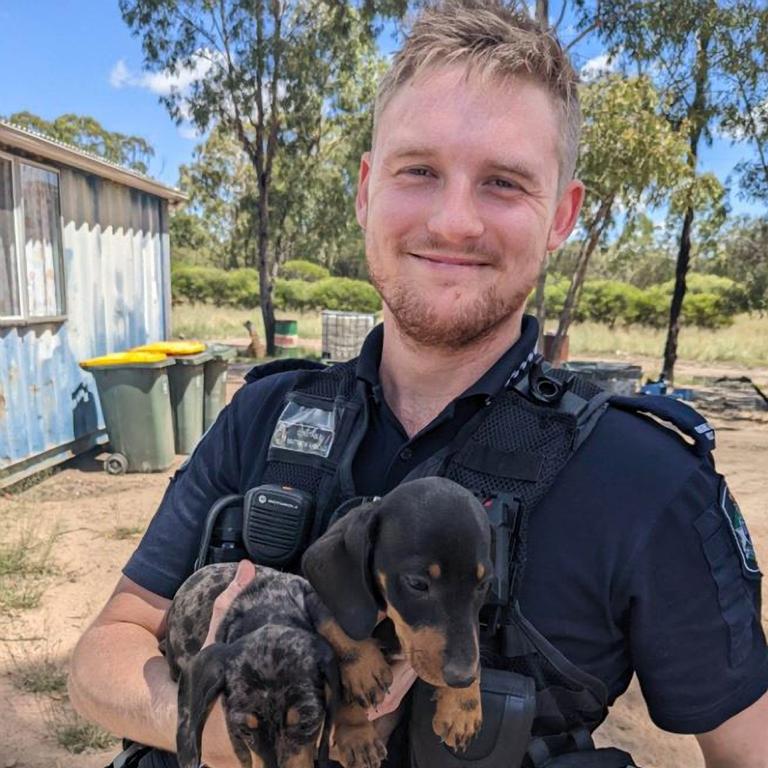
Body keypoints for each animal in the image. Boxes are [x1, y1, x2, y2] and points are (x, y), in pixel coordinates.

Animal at [302, 476, 492, 760]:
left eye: (483, 585)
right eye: (417, 583)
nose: (461, 679)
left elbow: (473, 640)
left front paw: (463, 707)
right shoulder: (317, 601)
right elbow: (340, 626)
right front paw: (364, 675)